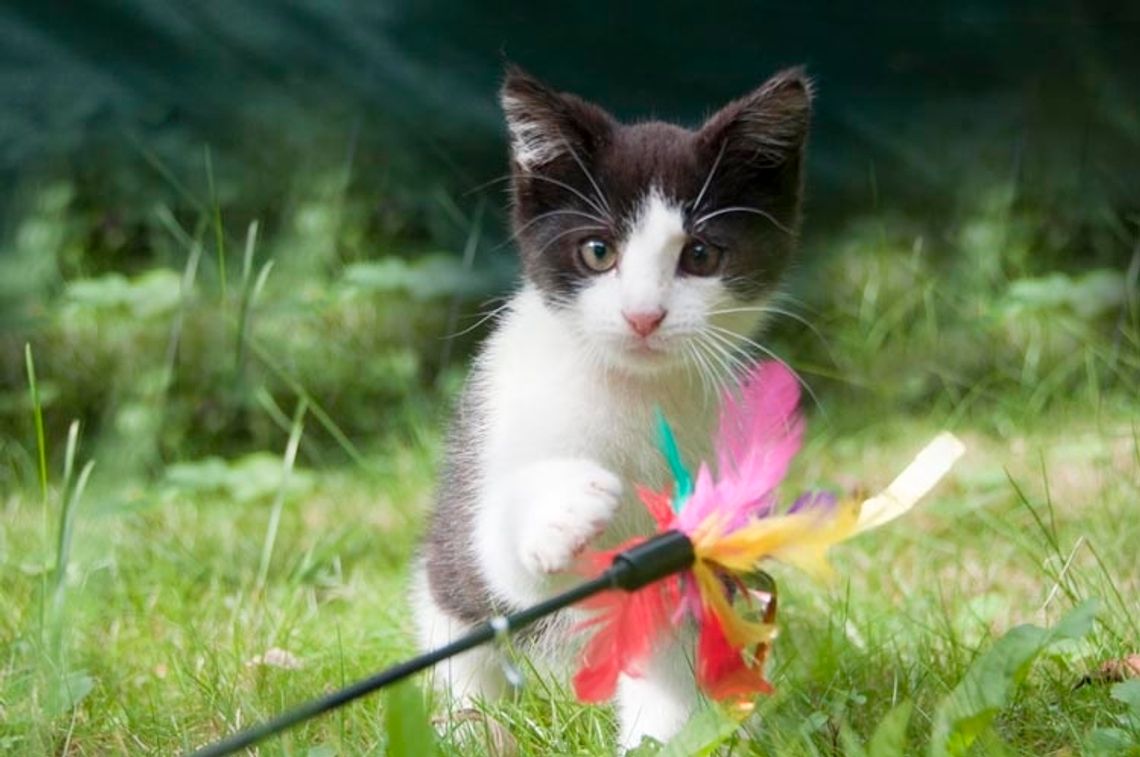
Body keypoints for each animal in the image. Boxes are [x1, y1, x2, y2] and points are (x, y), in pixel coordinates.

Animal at [414, 66, 816, 752]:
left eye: (701, 255)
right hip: (444, 589)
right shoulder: (499, 436)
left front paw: (668, 734)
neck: (631, 392)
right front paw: (561, 507)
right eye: (598, 252)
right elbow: (508, 564)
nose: (643, 316)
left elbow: (673, 641)